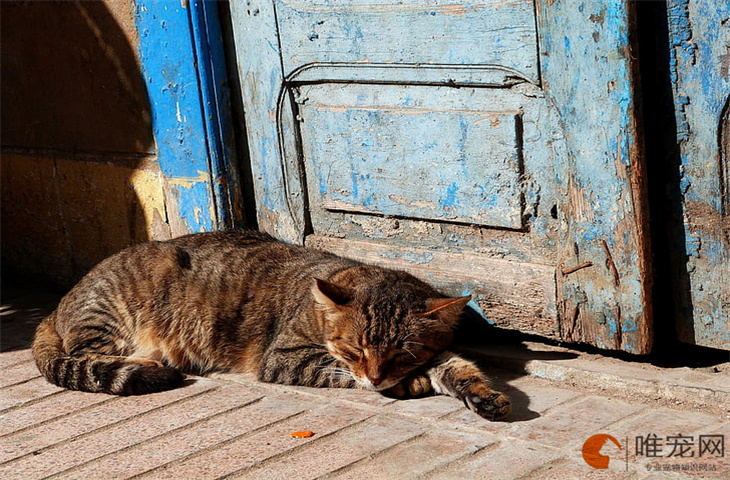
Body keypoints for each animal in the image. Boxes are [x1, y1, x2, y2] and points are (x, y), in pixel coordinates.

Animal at [31, 232, 510, 420]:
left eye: (400, 352)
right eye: (355, 350)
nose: (376, 377)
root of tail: (59, 304)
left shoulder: (437, 352)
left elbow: (459, 368)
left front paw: (482, 395)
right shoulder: (283, 357)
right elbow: (335, 370)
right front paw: (407, 384)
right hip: (109, 320)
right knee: (87, 355)